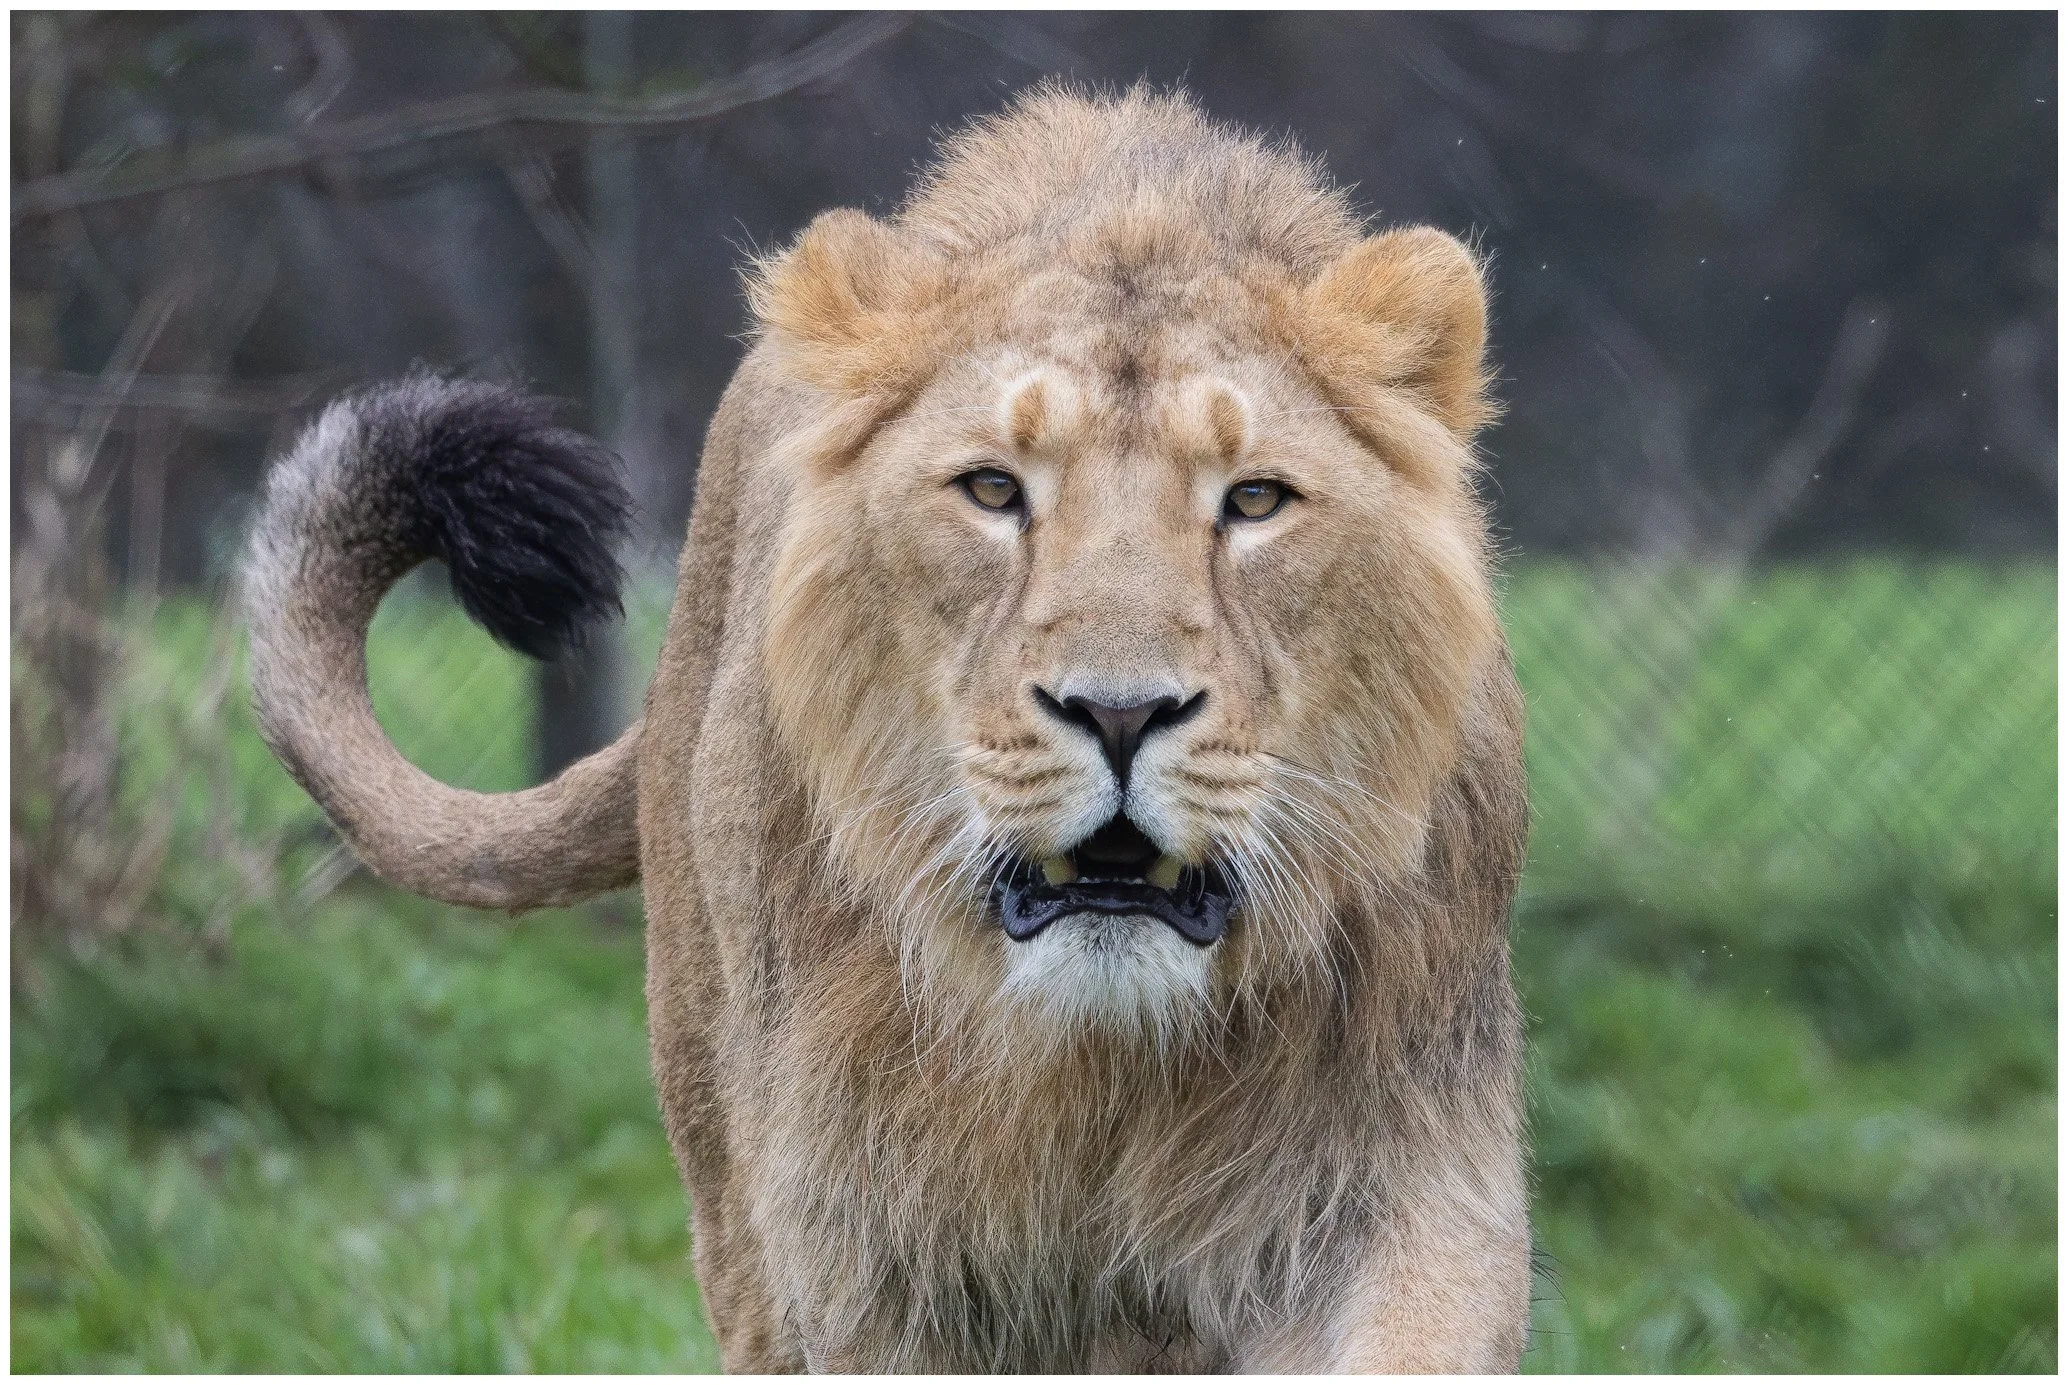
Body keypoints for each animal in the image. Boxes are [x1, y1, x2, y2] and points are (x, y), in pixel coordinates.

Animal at [244, 84, 1531, 1372]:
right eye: (994, 489)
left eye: (1255, 498)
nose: (1120, 711)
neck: (1096, 1063)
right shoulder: (858, 1248)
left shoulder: (1410, 1177)